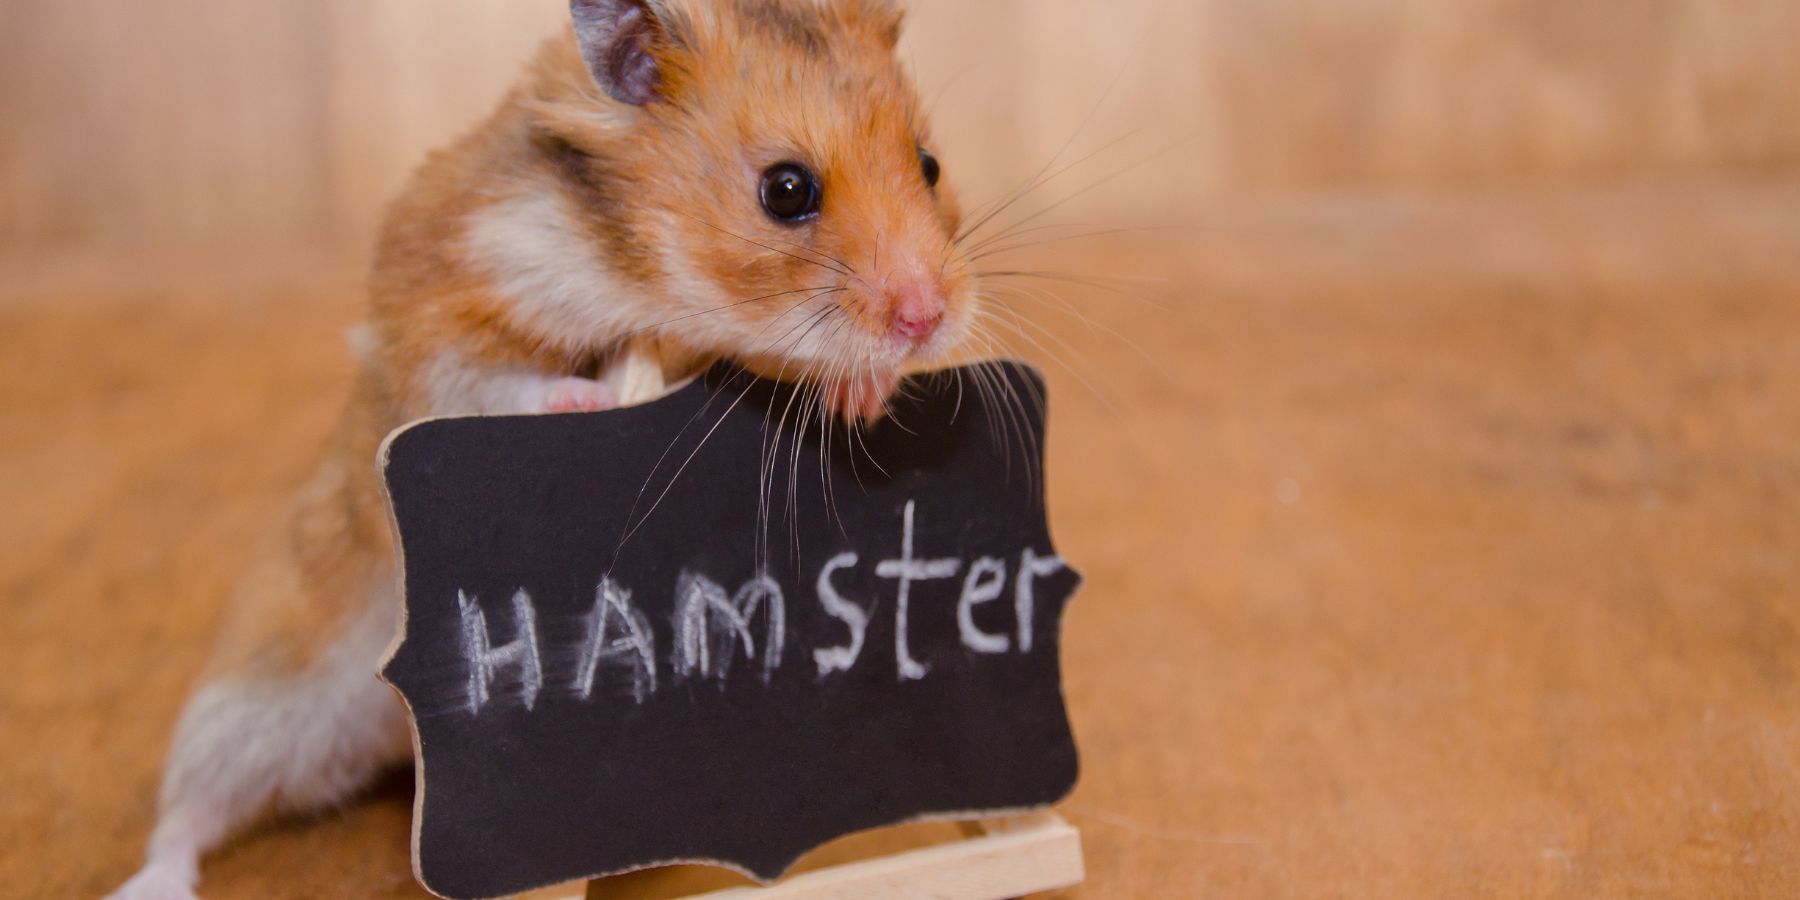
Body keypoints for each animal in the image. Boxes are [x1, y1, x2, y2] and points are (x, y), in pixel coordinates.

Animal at [109, 1, 976, 897]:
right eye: (786, 189)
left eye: (930, 163)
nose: (930, 318)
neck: (639, 270)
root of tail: (397, 736)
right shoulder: (444, 305)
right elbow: (495, 378)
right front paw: (585, 398)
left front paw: (866, 395)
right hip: (256, 702)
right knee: (186, 813)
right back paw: (151, 883)